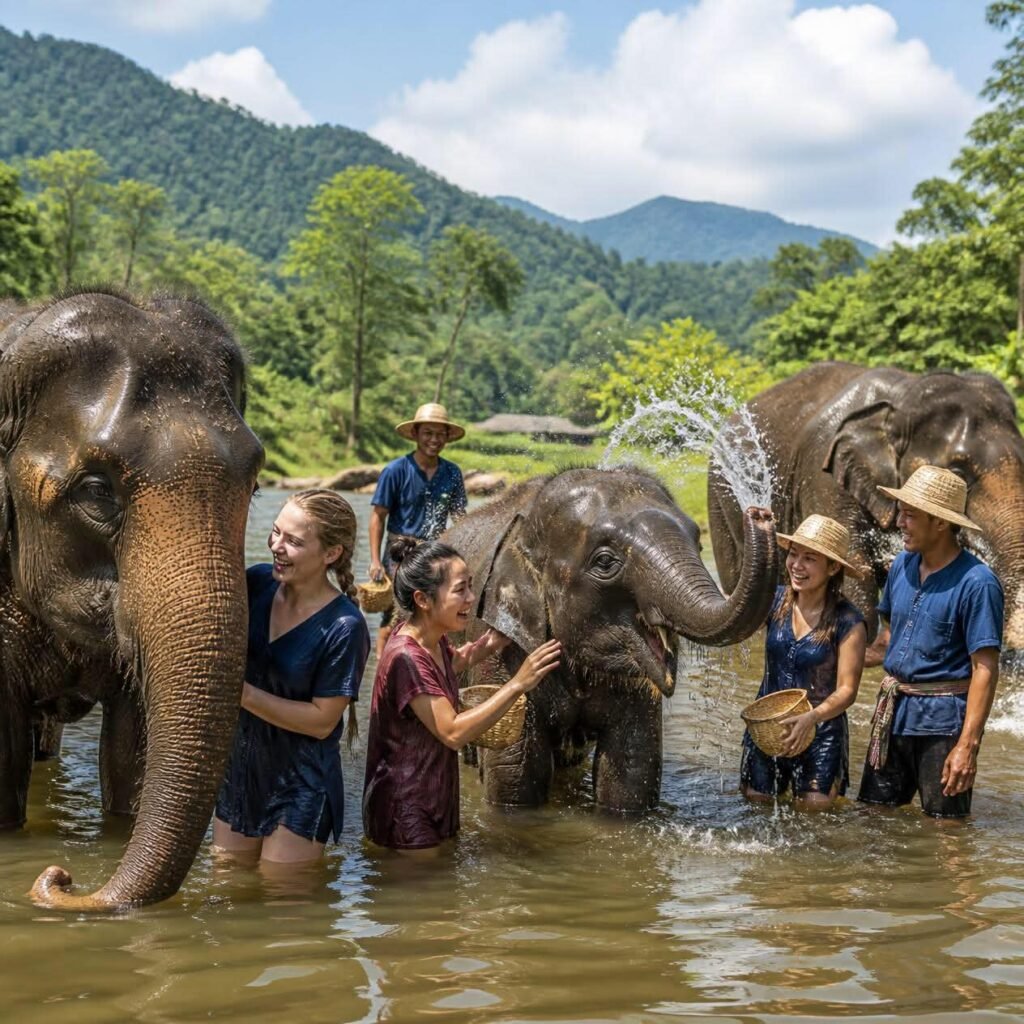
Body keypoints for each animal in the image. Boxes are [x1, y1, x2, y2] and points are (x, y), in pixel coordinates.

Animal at [444, 466, 778, 813]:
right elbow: (514, 779)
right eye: (605, 562)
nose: (760, 513)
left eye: (699, 545)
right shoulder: (502, 646)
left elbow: (632, 774)